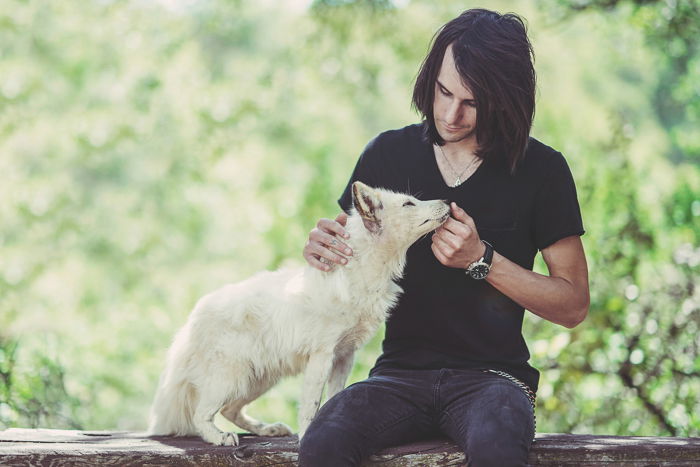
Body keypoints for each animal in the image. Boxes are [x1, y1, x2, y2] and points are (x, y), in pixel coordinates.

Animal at [150, 180, 452, 446]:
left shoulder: (344, 356)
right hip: (230, 378)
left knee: (230, 410)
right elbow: (311, 406)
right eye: (409, 203)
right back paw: (220, 438)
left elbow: (332, 399)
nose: (448, 201)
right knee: (201, 415)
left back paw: (267, 430)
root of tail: (191, 323)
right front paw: (307, 436)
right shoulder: (321, 356)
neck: (360, 274)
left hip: (258, 380)